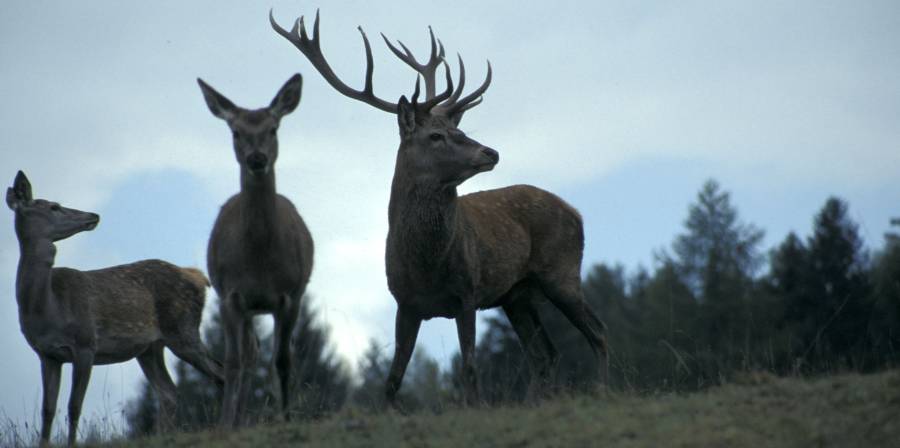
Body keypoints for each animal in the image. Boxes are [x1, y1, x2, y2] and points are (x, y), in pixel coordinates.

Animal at [5, 171, 223, 444]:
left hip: (183, 329)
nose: (93, 215)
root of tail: (199, 277)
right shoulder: (47, 354)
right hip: (150, 348)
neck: (48, 307)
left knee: (220, 372)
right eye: (54, 207)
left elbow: (74, 406)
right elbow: (48, 410)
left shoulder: (86, 344)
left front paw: (72, 444)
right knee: (170, 392)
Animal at [197, 73, 312, 428]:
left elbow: (283, 360)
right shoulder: (231, 296)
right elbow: (233, 361)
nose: (257, 159)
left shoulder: (291, 295)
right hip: (241, 305)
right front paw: (224, 425)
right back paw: (236, 419)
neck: (259, 260)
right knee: (248, 354)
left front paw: (286, 418)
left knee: (260, 352)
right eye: (235, 132)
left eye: (273, 128)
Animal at [272, 10, 612, 404]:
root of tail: (576, 212)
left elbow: (469, 369)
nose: (491, 152)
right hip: (517, 294)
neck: (427, 264)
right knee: (546, 353)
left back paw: (602, 388)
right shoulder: (405, 302)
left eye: (459, 130)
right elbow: (392, 380)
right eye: (436, 135)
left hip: (561, 271)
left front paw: (475, 407)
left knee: (597, 331)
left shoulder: (467, 293)